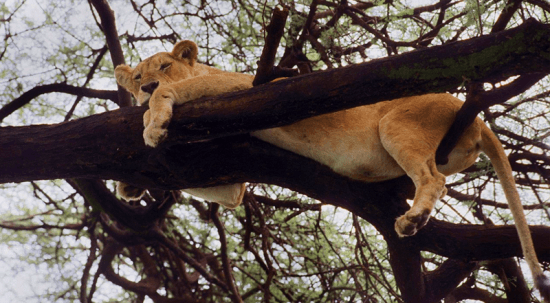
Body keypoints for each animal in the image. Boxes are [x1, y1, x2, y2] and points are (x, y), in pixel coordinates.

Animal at [114, 39, 548, 300]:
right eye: (136, 76)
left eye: (164, 67)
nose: (145, 86)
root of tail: (477, 119)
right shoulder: (231, 180)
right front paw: (128, 188)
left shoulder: (240, 89)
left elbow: (173, 96)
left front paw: (153, 123)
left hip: (398, 124)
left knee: (434, 178)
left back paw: (412, 220)